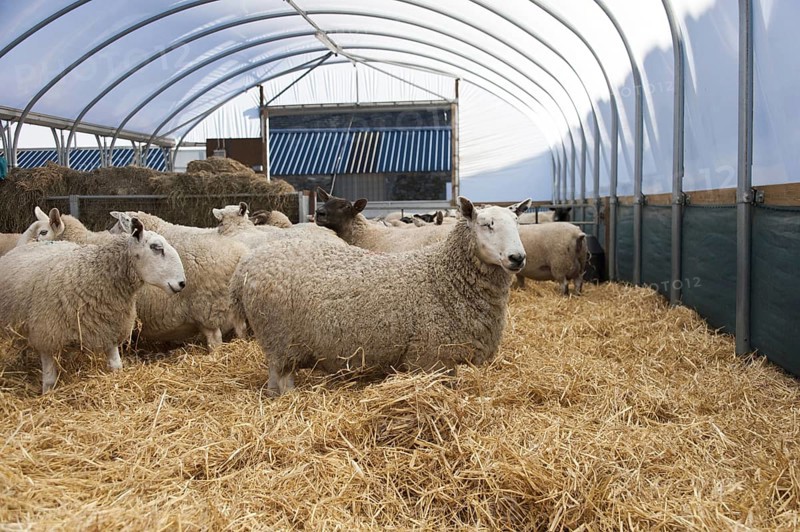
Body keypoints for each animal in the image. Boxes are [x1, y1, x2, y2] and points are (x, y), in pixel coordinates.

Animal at [0, 215, 185, 393]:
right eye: (156, 247)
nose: (182, 283)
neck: (94, 274)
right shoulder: (46, 336)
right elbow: (50, 381)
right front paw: (47, 395)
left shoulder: (109, 329)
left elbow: (117, 367)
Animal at [230, 196, 531, 396]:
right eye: (486, 224)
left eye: (518, 223)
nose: (517, 258)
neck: (443, 276)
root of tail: (245, 266)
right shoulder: (430, 356)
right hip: (278, 337)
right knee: (280, 380)